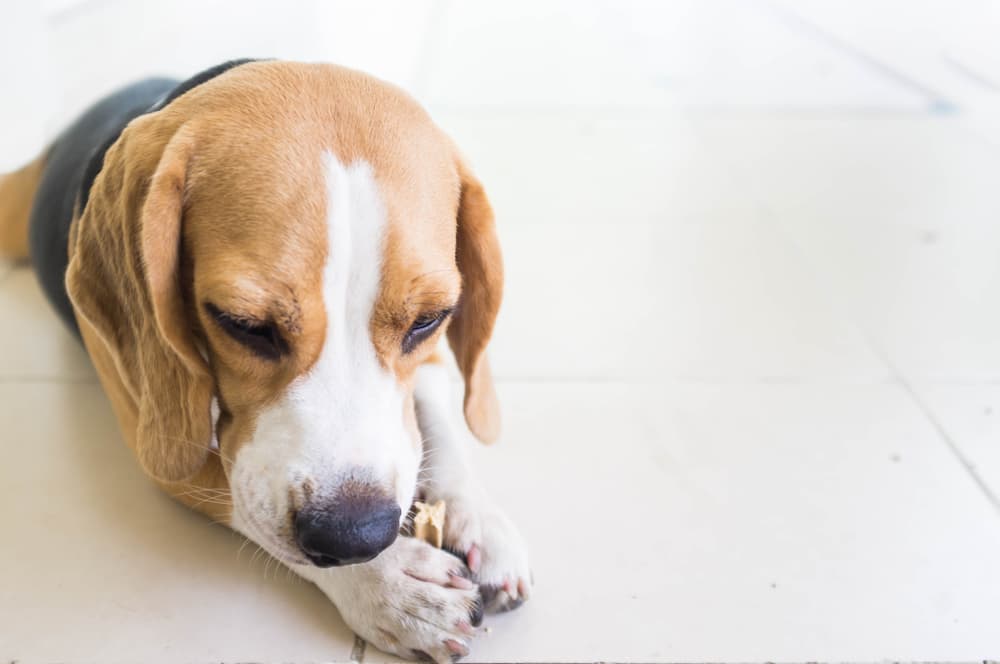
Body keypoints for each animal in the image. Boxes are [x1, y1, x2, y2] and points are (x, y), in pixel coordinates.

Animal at [0, 59, 532, 660]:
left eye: (429, 319)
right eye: (243, 325)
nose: (356, 538)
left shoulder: (432, 357)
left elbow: (435, 419)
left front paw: (476, 516)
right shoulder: (156, 436)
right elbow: (243, 500)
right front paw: (390, 585)